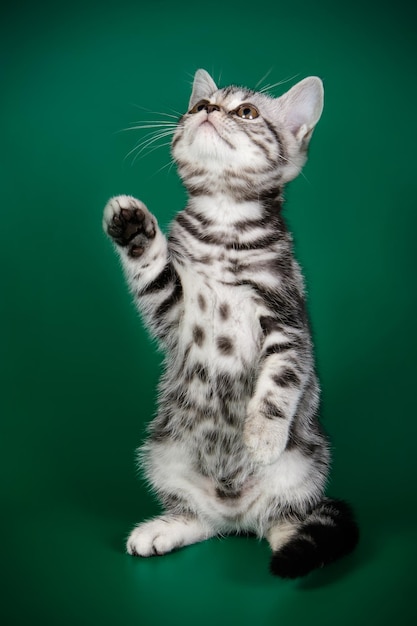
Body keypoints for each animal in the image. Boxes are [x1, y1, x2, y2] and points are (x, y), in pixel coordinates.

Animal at [103, 68, 358, 576]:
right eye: (199, 104)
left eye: (247, 112)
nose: (207, 110)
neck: (224, 222)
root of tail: (238, 512)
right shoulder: (174, 310)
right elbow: (152, 271)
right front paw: (135, 228)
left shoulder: (288, 320)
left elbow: (281, 379)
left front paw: (262, 434)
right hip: (163, 453)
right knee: (202, 519)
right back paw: (166, 528)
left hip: (307, 468)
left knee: (285, 517)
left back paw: (293, 540)